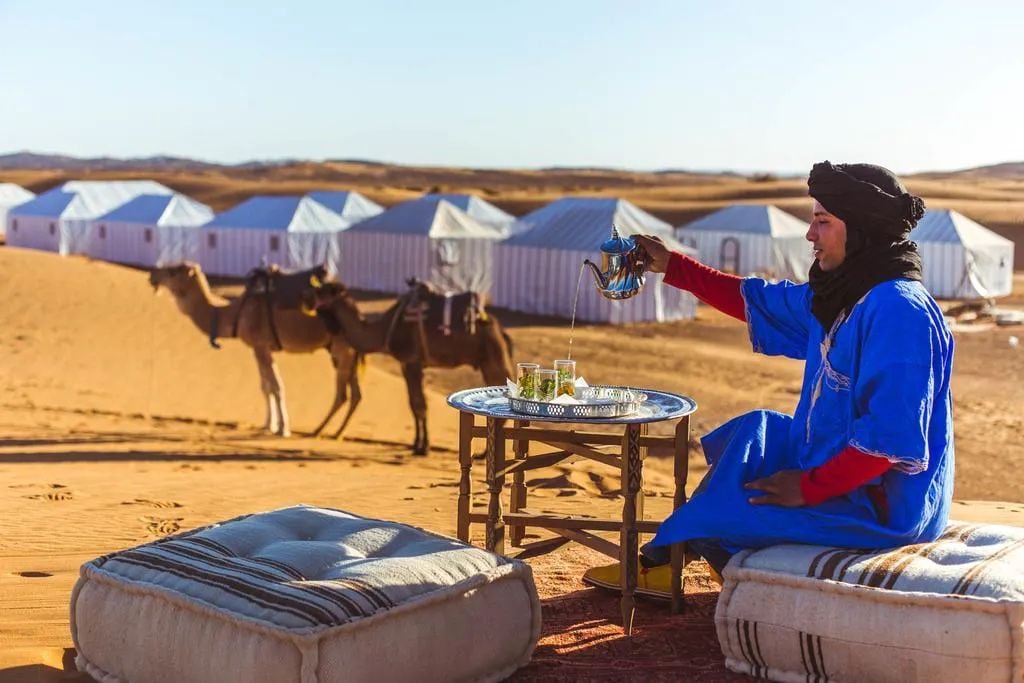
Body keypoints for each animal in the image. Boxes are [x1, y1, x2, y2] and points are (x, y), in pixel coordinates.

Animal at [147, 262, 364, 438]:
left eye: (173, 271)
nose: (152, 275)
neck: (233, 314)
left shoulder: (261, 345)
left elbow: (276, 386)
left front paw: (283, 429)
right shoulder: (256, 348)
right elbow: (265, 386)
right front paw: (268, 425)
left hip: (343, 348)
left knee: (343, 394)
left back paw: (320, 431)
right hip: (345, 351)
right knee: (356, 394)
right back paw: (337, 433)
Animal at [301, 278, 512, 454]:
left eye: (323, 291)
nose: (306, 298)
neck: (384, 329)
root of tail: (501, 331)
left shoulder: (413, 362)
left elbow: (420, 404)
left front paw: (424, 448)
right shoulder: (404, 364)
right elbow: (413, 404)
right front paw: (415, 444)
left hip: (494, 358)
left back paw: (485, 454)